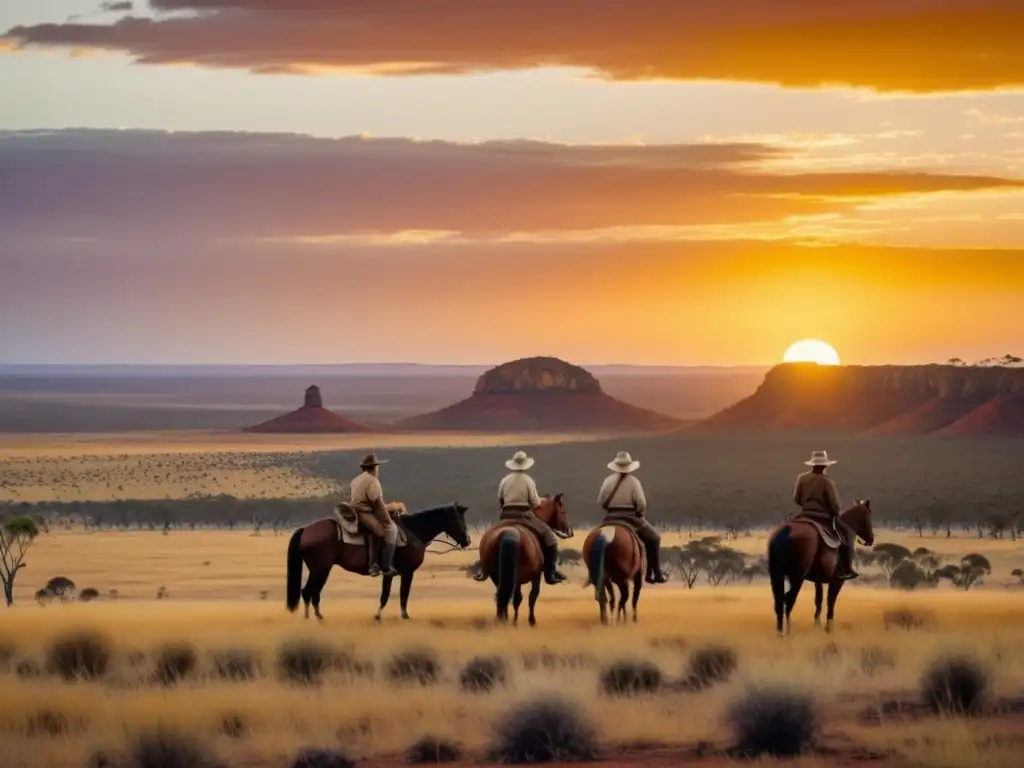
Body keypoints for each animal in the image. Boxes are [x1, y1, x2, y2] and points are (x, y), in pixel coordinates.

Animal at [282, 505, 468, 626]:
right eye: (459, 521)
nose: (467, 542)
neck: (413, 532)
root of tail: (305, 530)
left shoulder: (390, 574)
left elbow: (386, 595)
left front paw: (379, 616)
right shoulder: (407, 572)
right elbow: (401, 595)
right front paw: (402, 616)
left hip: (320, 570)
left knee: (312, 593)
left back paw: (317, 617)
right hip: (320, 569)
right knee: (308, 592)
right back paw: (311, 619)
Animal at [475, 495, 573, 626]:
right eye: (563, 511)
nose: (569, 531)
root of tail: (507, 533)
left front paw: (514, 620)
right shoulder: (536, 575)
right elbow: (532, 596)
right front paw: (530, 621)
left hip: (497, 576)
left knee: (502, 595)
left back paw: (502, 619)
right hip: (518, 575)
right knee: (514, 597)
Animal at [765, 499, 876, 638]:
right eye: (869, 515)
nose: (871, 539)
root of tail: (785, 531)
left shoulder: (818, 580)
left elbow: (818, 601)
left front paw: (817, 626)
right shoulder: (837, 580)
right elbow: (830, 601)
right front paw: (829, 629)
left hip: (777, 575)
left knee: (779, 602)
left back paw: (780, 633)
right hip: (797, 577)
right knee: (788, 600)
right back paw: (788, 632)